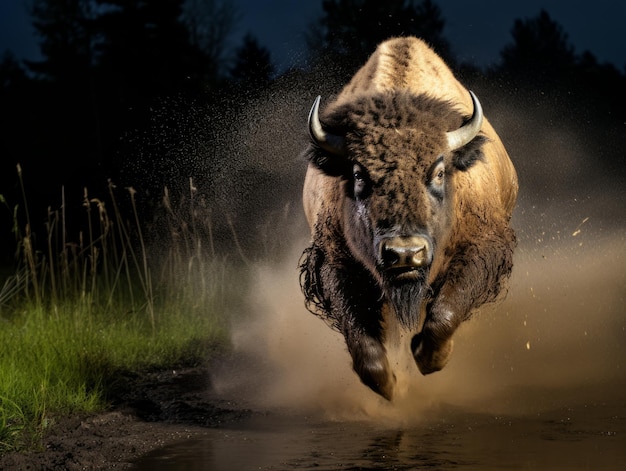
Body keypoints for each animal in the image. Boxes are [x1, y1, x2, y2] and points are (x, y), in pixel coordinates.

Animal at [298, 37, 516, 400]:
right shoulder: (335, 261)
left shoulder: (481, 246)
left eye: (439, 172)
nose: (405, 253)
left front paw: (426, 356)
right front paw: (388, 385)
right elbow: (361, 333)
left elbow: (445, 311)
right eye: (358, 174)